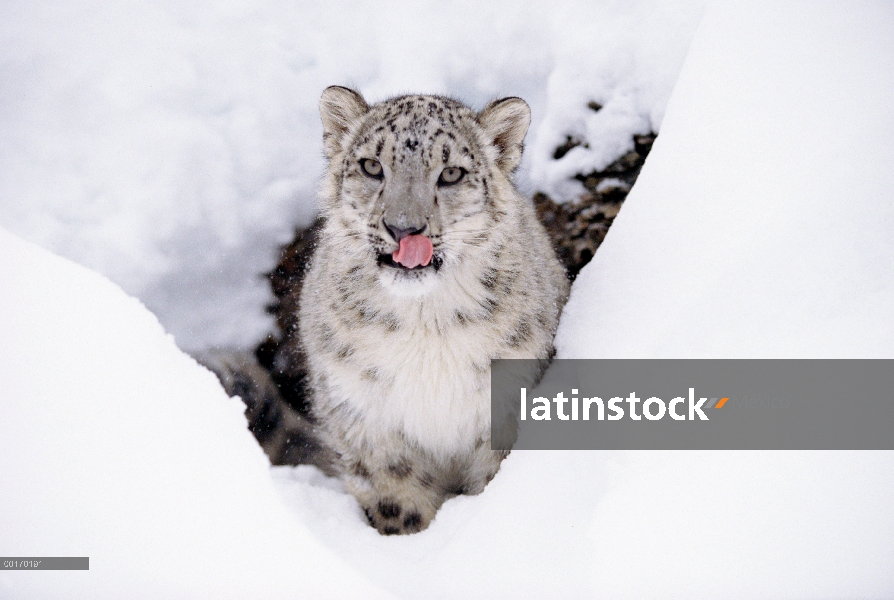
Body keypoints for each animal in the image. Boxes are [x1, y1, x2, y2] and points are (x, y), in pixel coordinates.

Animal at [272, 88, 572, 536]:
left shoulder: (504, 404)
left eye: (451, 174)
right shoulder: (364, 417)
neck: (424, 324)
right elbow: (395, 496)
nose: (403, 228)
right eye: (372, 166)